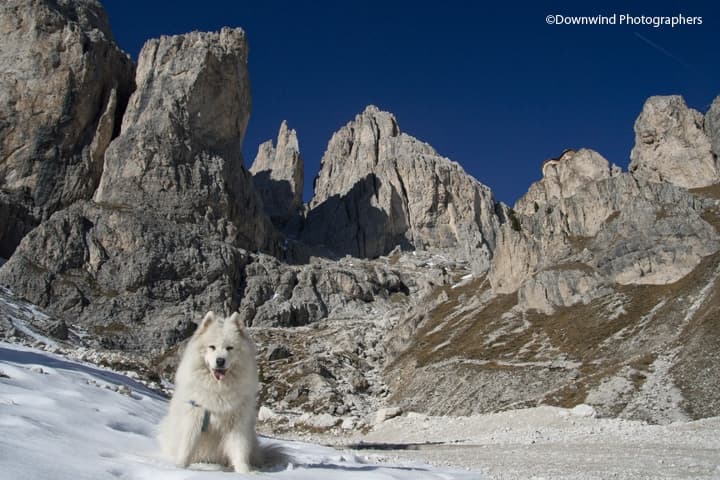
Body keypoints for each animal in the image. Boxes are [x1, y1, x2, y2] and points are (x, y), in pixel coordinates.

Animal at [158, 312, 282, 472]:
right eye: (212, 347)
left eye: (229, 348)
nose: (220, 361)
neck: (218, 389)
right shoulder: (194, 417)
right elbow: (187, 446)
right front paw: (180, 467)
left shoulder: (237, 424)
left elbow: (239, 450)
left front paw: (245, 472)